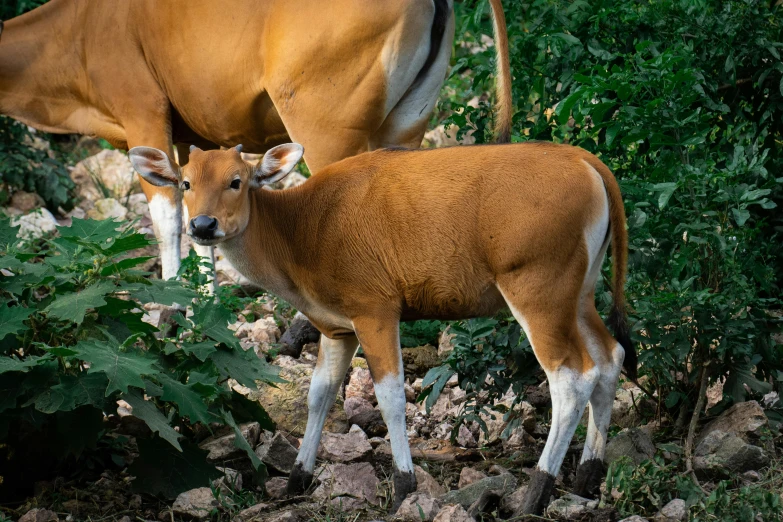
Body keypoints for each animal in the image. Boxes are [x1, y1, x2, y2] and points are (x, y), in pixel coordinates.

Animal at [129, 141, 640, 512]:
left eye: (237, 181)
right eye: (186, 182)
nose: (203, 225)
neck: (301, 231)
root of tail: (587, 161)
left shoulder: (375, 310)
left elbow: (391, 396)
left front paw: (404, 485)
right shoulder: (337, 328)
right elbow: (319, 395)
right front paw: (297, 478)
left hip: (538, 288)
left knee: (571, 377)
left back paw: (536, 492)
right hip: (579, 292)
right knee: (609, 357)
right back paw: (588, 475)